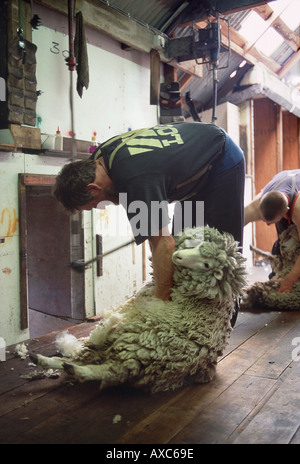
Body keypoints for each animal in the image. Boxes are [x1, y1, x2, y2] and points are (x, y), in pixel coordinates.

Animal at [29, 227, 247, 394]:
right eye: (196, 243)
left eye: (207, 264)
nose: (177, 256)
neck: (203, 299)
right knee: (92, 358)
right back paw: (48, 360)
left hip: (140, 349)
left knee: (112, 370)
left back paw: (76, 368)